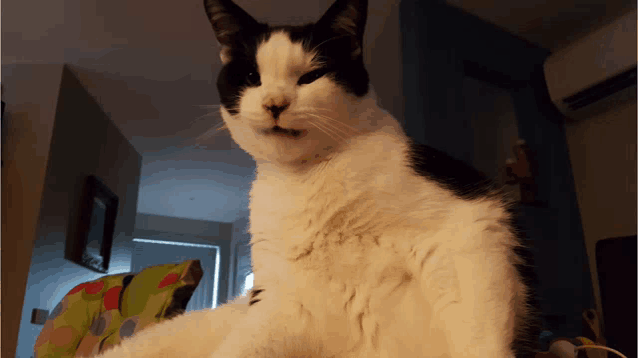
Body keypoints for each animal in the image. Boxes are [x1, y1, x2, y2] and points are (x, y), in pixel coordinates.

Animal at [95, 0, 536, 356]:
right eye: (252, 77)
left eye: (311, 76)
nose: (274, 104)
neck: (306, 178)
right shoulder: (280, 300)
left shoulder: (468, 226)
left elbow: (477, 333)